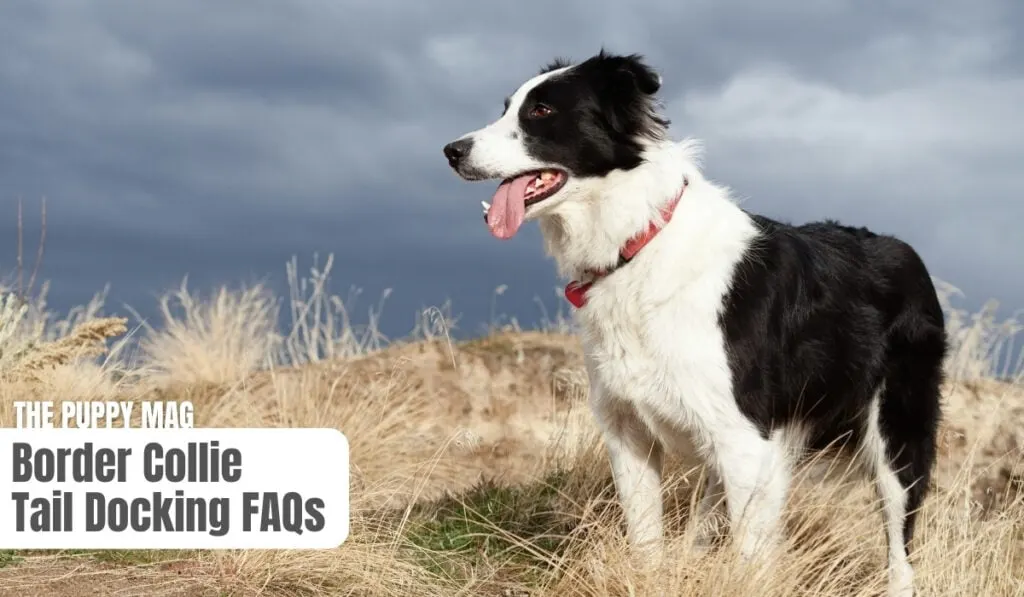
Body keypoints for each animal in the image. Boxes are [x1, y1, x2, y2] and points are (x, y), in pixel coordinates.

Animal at [440, 51, 942, 597]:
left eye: (542, 111)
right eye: (506, 108)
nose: (451, 151)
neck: (637, 240)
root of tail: (907, 251)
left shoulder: (745, 439)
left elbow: (748, 556)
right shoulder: (629, 429)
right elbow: (646, 538)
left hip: (896, 434)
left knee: (900, 550)